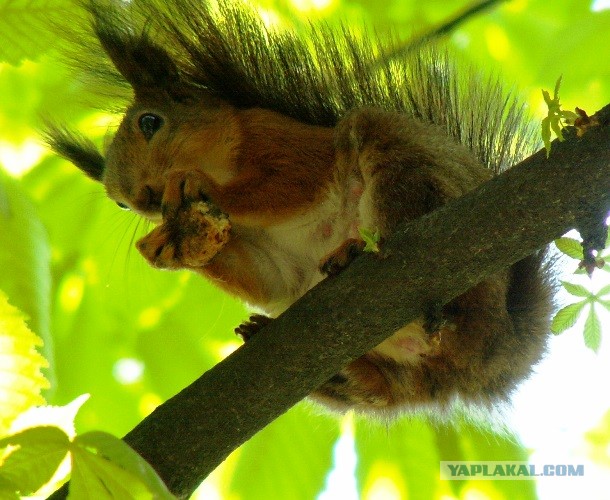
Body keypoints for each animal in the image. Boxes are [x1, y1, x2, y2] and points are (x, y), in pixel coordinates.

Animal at [46, 0, 552, 418]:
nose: (142, 199)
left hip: (406, 166)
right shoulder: (268, 256)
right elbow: (269, 281)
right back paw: (339, 369)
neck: (227, 154)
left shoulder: (287, 144)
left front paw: (199, 187)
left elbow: (287, 186)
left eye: (150, 122)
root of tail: (504, 349)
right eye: (117, 202)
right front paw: (178, 249)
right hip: (400, 371)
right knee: (385, 390)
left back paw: (358, 252)